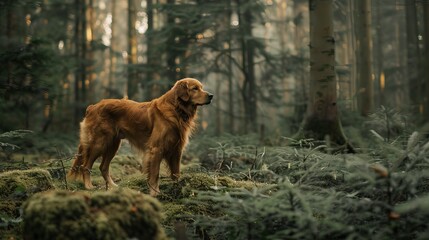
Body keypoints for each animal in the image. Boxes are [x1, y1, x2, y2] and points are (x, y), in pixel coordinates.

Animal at [67, 78, 212, 196]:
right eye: (195, 88)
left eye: (201, 87)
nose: (211, 95)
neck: (176, 109)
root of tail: (93, 106)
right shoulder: (156, 149)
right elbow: (155, 174)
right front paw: (155, 193)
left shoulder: (177, 150)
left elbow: (176, 173)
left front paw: (177, 188)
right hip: (100, 142)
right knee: (85, 166)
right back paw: (88, 186)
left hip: (113, 144)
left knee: (103, 167)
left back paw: (113, 186)